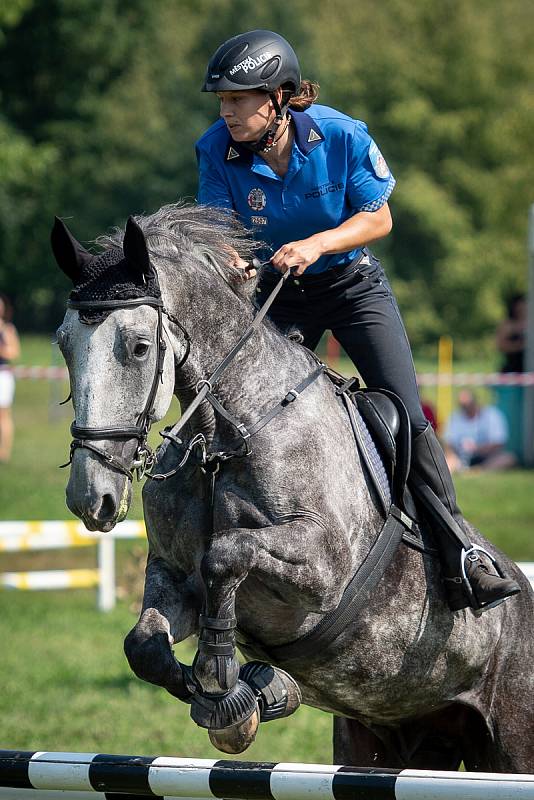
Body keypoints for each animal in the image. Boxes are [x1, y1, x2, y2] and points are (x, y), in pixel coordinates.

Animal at [52, 203, 534, 772]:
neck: (224, 438)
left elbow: (226, 553)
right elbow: (145, 645)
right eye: (63, 345)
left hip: (511, 740)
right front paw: (242, 698)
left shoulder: (324, 568)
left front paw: (224, 675)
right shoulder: (172, 572)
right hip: (392, 740)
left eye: (139, 347)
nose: (91, 497)